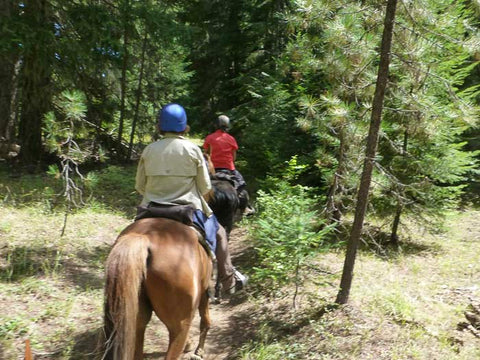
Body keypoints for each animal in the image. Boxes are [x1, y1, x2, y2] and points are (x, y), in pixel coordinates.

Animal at [102, 217, 212, 360]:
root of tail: (145, 238)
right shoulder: (204, 290)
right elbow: (205, 319)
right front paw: (199, 350)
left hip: (135, 321)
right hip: (179, 325)